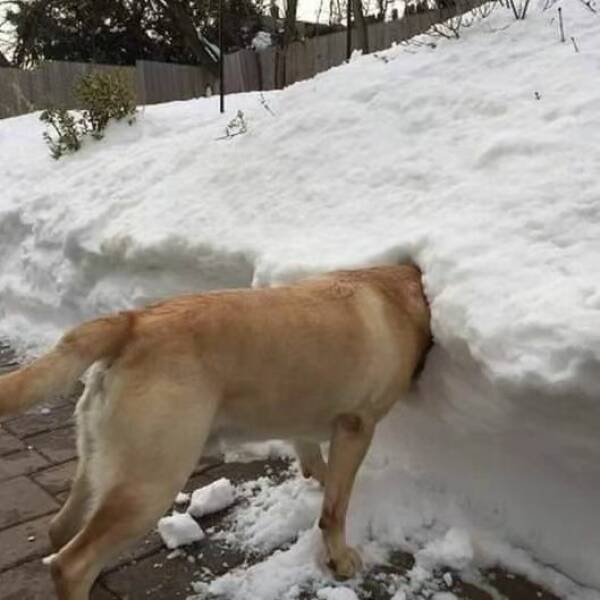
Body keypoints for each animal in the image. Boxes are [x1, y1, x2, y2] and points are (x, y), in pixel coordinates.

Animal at [0, 266, 432, 600]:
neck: (400, 291)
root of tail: (132, 322)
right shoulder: (356, 426)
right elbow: (335, 510)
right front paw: (339, 559)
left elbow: (314, 460)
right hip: (150, 483)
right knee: (71, 564)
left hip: (98, 462)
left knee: (60, 531)